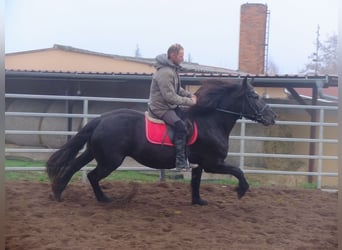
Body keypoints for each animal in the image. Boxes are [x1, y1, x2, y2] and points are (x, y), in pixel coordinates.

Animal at [46, 77, 276, 205]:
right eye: (254, 96)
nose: (272, 117)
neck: (210, 120)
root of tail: (101, 119)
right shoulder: (213, 164)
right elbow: (238, 171)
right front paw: (241, 190)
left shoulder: (200, 165)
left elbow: (195, 182)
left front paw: (198, 201)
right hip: (110, 161)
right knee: (92, 176)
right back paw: (103, 199)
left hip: (95, 153)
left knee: (74, 167)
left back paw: (58, 192)